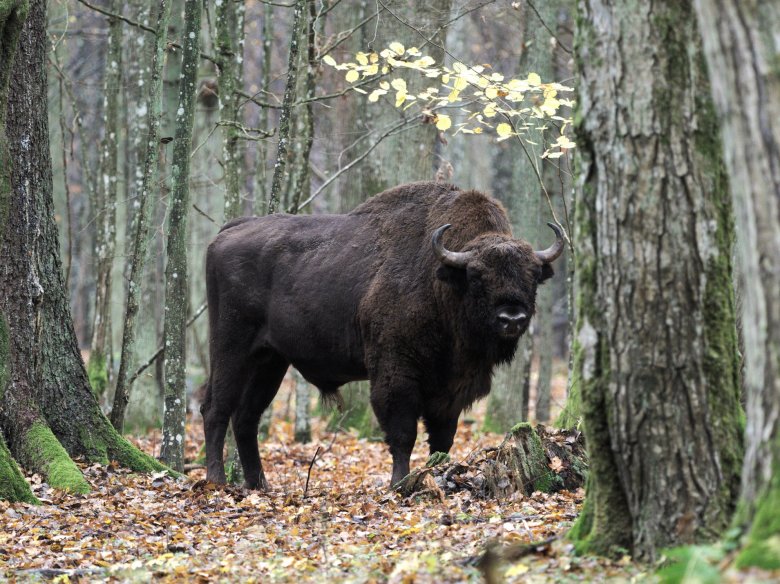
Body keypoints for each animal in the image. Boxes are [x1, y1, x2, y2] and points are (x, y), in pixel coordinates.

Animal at [203, 181, 560, 488]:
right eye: (477, 275)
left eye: (532, 275)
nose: (511, 317)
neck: (441, 282)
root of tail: (226, 233)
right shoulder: (395, 373)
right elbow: (402, 433)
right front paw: (399, 484)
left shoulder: (450, 391)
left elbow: (442, 438)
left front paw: (436, 473)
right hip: (231, 349)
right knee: (216, 408)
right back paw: (217, 481)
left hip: (270, 361)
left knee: (246, 418)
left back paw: (258, 485)